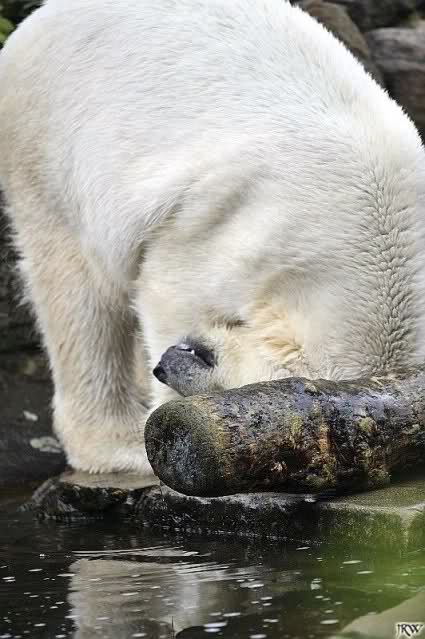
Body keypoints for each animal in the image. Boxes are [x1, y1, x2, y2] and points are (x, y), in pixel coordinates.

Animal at [0, 0, 424, 475]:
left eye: (207, 359)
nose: (166, 364)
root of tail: (33, 25)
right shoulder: (241, 232)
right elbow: (169, 289)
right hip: (47, 139)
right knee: (79, 290)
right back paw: (116, 444)